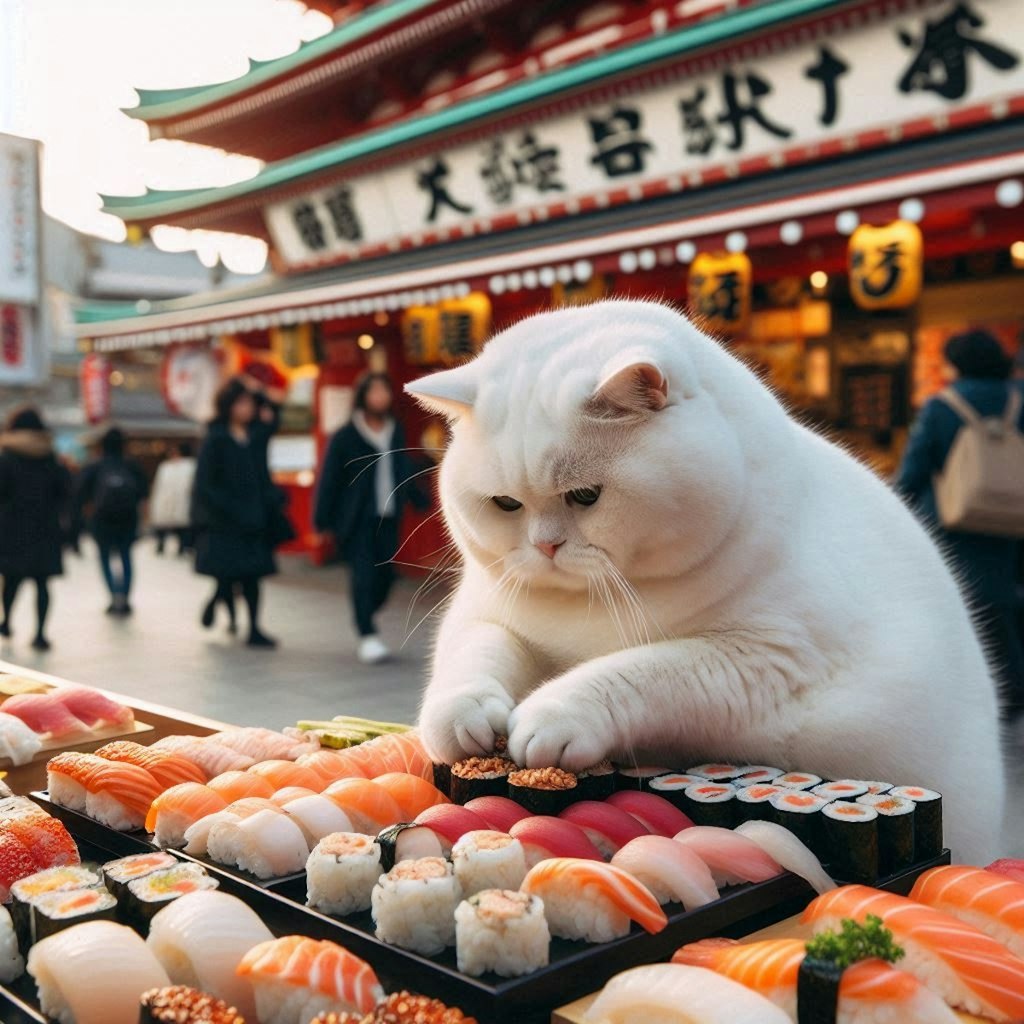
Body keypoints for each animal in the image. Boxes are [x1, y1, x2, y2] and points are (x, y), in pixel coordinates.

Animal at [405, 299, 999, 864]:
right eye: (506, 504)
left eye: (587, 496)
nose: (545, 547)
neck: (594, 604)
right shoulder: (487, 614)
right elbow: (472, 654)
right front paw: (464, 716)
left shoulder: (764, 659)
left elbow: (638, 674)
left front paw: (554, 714)